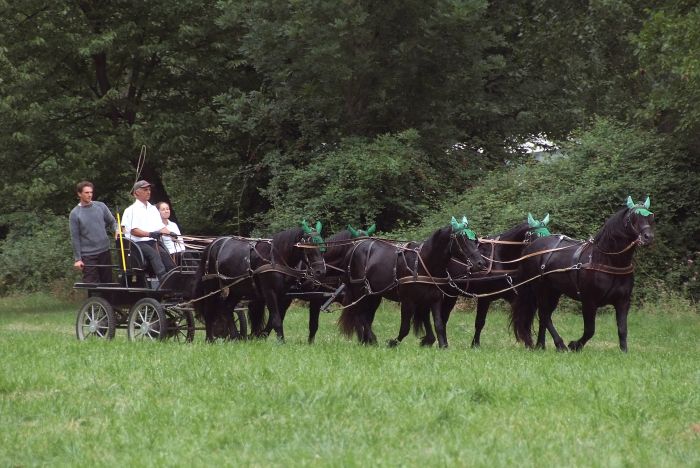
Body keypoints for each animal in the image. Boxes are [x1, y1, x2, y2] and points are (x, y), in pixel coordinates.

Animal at [193, 221, 326, 342]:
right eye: (309, 248)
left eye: (322, 247)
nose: (321, 271)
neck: (276, 259)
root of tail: (213, 244)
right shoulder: (269, 292)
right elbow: (276, 319)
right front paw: (280, 341)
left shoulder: (283, 295)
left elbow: (275, 318)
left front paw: (262, 336)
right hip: (212, 286)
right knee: (209, 311)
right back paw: (209, 339)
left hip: (238, 289)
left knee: (227, 308)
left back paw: (236, 337)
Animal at [340, 218, 486, 346]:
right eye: (462, 240)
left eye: (475, 240)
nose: (481, 263)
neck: (423, 264)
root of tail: (353, 248)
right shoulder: (408, 301)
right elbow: (405, 327)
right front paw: (393, 343)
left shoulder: (434, 299)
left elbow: (438, 324)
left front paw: (442, 345)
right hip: (359, 291)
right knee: (360, 315)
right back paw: (372, 339)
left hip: (373, 295)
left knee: (366, 316)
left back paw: (366, 341)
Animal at [400, 214, 552, 346]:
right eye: (537, 237)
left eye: (549, 235)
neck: (499, 259)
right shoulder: (484, 297)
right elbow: (480, 322)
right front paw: (475, 344)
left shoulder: (513, 295)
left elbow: (527, 317)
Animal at [516, 196, 656, 352]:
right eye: (634, 217)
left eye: (651, 216)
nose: (648, 237)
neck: (606, 260)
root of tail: (531, 247)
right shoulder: (589, 301)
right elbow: (590, 330)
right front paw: (574, 345)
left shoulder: (623, 302)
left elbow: (622, 329)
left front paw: (624, 351)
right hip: (540, 289)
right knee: (544, 314)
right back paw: (559, 344)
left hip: (554, 292)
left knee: (544, 316)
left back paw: (541, 345)